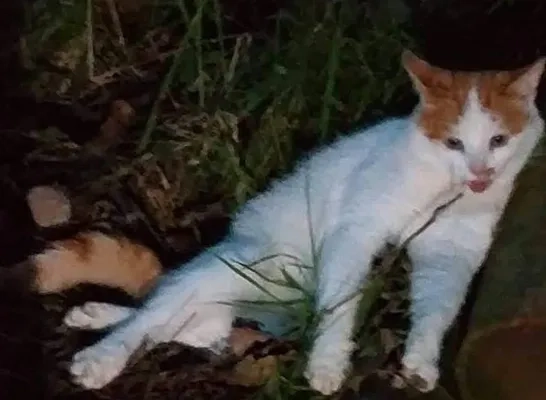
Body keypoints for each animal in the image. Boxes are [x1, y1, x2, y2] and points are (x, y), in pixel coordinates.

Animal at [62, 50, 545, 395]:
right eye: (454, 143)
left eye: (498, 141)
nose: (481, 175)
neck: (443, 189)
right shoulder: (354, 232)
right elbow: (340, 304)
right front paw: (328, 365)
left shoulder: (449, 256)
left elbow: (436, 313)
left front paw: (421, 362)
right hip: (237, 265)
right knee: (150, 316)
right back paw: (99, 357)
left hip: (224, 312)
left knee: (173, 322)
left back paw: (95, 314)